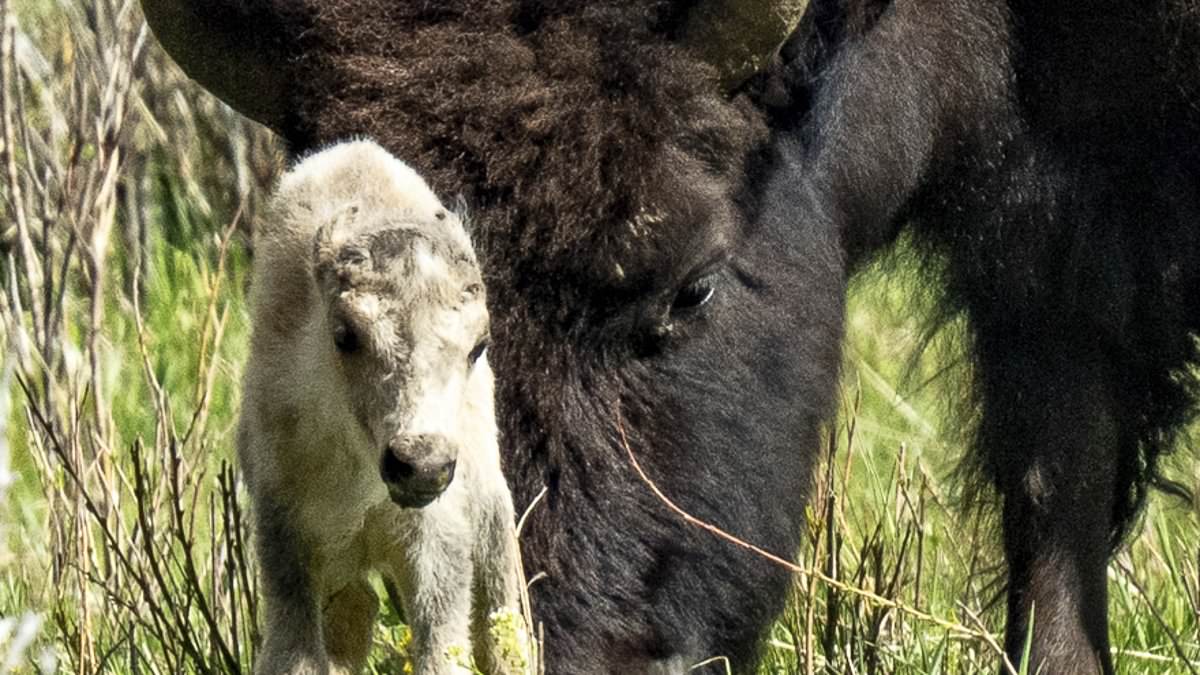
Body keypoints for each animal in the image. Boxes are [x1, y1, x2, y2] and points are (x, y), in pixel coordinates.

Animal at [240, 139, 525, 667]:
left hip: (493, 524)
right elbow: (298, 656)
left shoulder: (436, 547)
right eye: (345, 335)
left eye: (478, 345)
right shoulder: (287, 541)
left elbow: (442, 652)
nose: (421, 465)